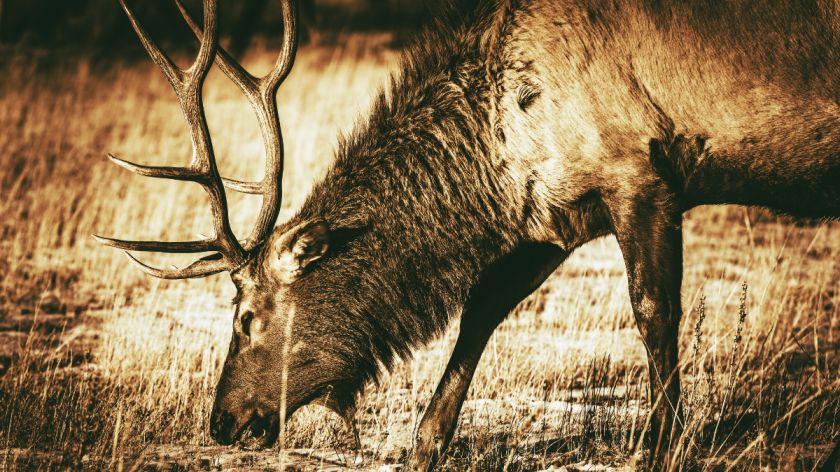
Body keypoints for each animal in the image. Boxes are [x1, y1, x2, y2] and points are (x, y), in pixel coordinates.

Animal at [95, 0, 840, 470]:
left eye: (246, 315)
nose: (221, 421)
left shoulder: (641, 173)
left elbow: (655, 310)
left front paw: (659, 444)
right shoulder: (555, 211)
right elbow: (481, 307)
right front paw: (424, 441)